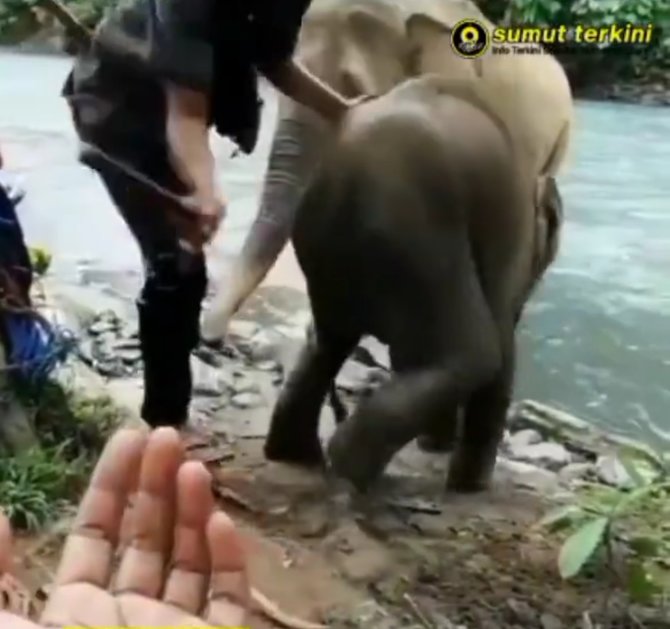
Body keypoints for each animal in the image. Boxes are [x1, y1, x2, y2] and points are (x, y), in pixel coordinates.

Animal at [262, 75, 568, 490]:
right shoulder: (509, 236)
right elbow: (503, 351)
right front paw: (469, 486)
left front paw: (435, 445)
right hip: (418, 237)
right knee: (476, 353)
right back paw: (347, 466)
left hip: (324, 246)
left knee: (326, 340)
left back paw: (294, 454)